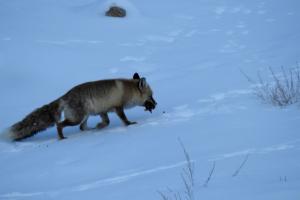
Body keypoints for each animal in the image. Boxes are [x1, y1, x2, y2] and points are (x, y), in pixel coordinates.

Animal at [8, 72, 157, 141]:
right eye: (151, 96)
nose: (156, 104)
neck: (128, 91)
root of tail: (64, 96)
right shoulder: (118, 107)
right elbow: (124, 120)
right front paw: (130, 124)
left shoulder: (103, 111)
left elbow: (106, 122)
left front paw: (99, 127)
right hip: (76, 118)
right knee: (60, 125)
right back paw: (62, 138)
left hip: (85, 116)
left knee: (82, 128)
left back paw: (91, 130)